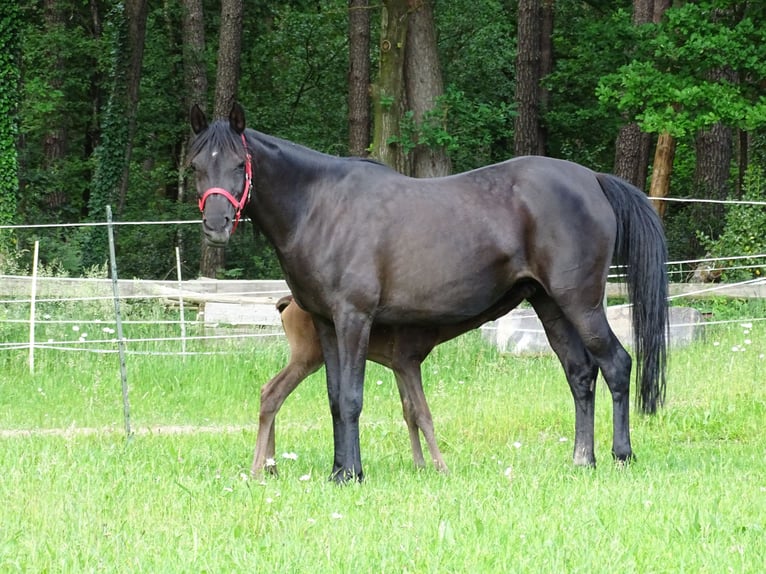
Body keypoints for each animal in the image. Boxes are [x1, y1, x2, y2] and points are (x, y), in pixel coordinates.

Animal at [189, 104, 668, 486]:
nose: (216, 225)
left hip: (581, 303)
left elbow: (352, 398)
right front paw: (339, 470)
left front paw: (353, 474)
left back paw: (621, 455)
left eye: (239, 163)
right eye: (196, 166)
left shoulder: (353, 319)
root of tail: (593, 180)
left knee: (617, 365)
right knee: (580, 374)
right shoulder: (326, 324)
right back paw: (582, 460)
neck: (320, 206)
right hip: (550, 305)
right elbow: (333, 399)